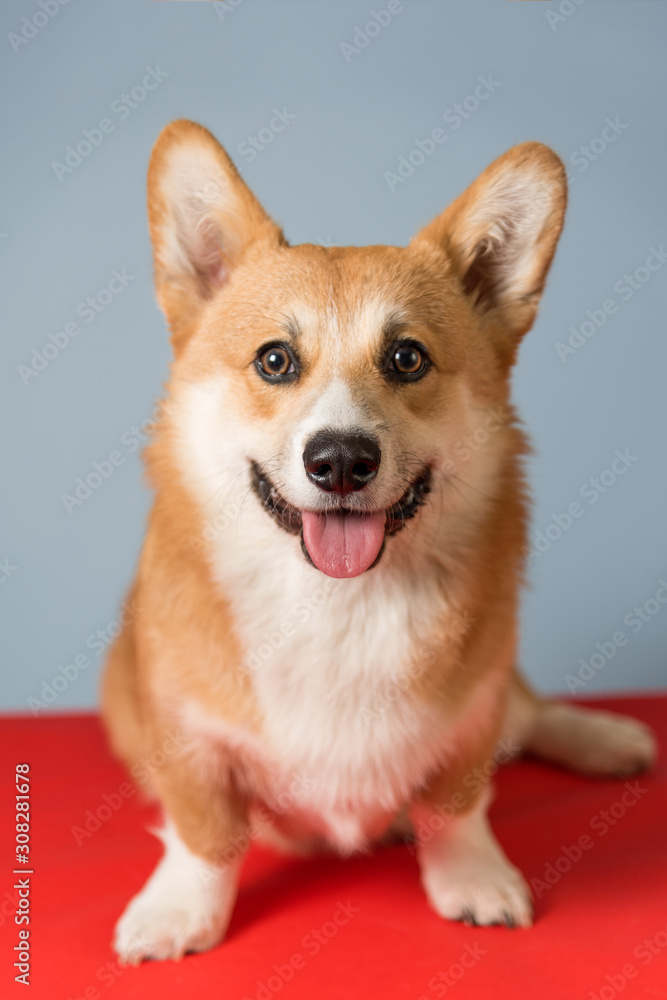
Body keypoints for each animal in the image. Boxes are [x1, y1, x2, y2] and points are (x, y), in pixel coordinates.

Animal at [104, 121, 656, 964]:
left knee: (529, 713)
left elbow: (457, 805)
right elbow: (207, 832)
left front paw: (472, 879)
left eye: (406, 358)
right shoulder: (186, 737)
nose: (339, 460)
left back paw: (607, 738)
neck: (338, 601)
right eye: (274, 360)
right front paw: (178, 912)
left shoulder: (470, 713)